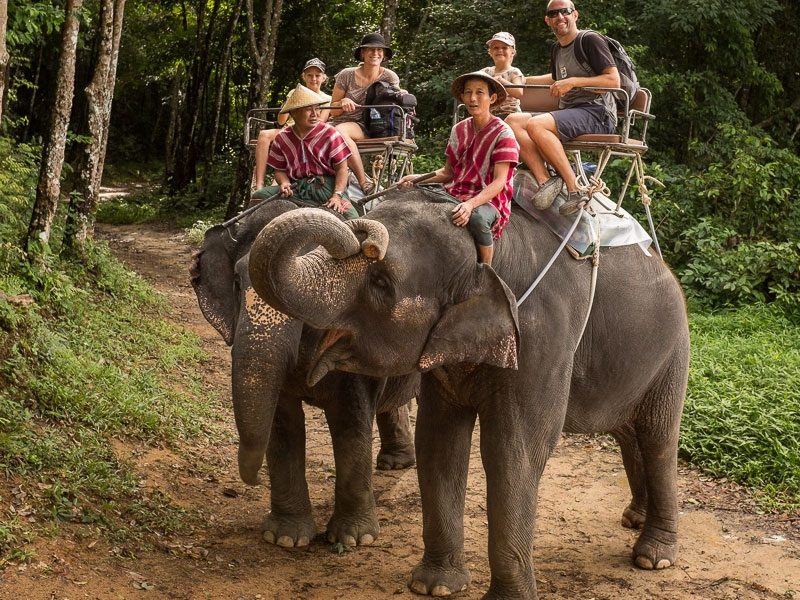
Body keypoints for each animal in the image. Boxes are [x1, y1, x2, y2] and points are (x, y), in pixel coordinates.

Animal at [191, 198, 418, 548]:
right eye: (237, 284)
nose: (251, 482)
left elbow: (351, 420)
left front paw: (355, 539)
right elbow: (282, 423)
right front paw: (285, 538)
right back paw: (394, 462)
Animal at [248, 192, 688, 600]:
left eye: (381, 282)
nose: (362, 228)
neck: (493, 252)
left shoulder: (543, 337)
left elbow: (514, 450)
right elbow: (438, 441)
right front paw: (436, 586)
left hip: (674, 351)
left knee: (658, 437)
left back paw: (654, 557)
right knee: (628, 433)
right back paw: (634, 517)